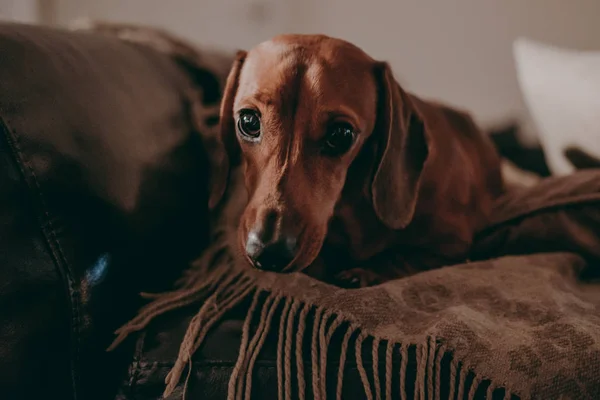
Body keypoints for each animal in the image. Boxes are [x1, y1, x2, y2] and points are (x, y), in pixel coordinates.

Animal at [209, 32, 504, 286]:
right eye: (248, 121)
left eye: (341, 134)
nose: (268, 252)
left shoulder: (453, 246)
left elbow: (401, 256)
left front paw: (362, 273)